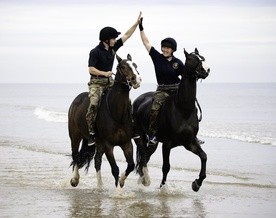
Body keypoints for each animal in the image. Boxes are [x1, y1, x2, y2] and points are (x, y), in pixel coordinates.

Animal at [68, 53, 141, 188]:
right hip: (75, 136)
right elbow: (115, 169)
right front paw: (118, 191)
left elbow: (131, 165)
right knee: (75, 155)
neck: (117, 114)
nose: (137, 80)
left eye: (135, 65)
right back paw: (74, 179)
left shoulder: (126, 143)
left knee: (97, 160)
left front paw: (121, 181)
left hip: (98, 142)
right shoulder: (108, 144)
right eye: (123, 67)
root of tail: (76, 100)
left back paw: (100, 186)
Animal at [133, 48, 209, 192]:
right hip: (142, 136)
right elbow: (166, 167)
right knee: (144, 157)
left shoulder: (190, 142)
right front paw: (162, 188)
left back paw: (142, 180)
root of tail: (137, 100)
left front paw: (197, 183)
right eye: (190, 59)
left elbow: (204, 156)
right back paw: (144, 181)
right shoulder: (167, 144)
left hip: (154, 143)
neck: (183, 109)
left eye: (203, 57)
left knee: (146, 157)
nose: (206, 70)